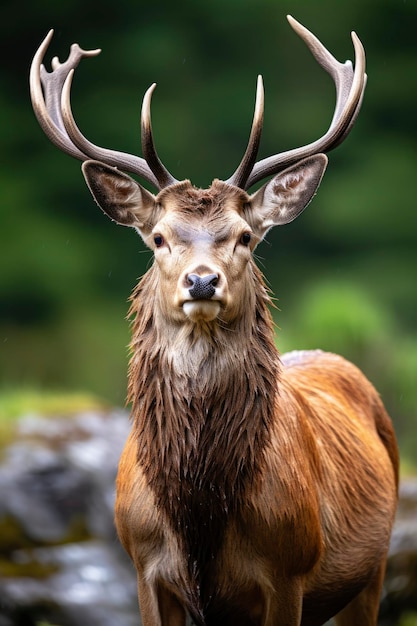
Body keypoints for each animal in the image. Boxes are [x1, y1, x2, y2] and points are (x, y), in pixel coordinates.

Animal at [30, 14, 396, 624]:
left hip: (373, 571)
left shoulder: (289, 572)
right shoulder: (143, 567)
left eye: (245, 236)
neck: (198, 518)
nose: (202, 281)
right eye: (158, 237)